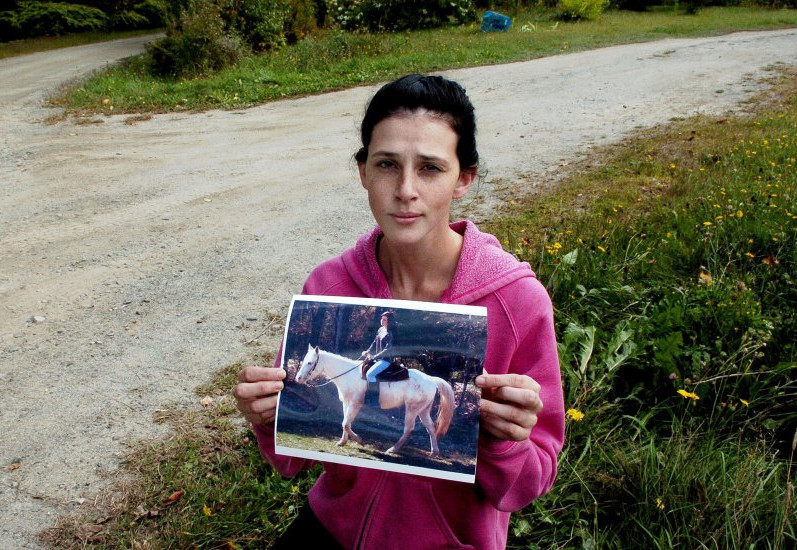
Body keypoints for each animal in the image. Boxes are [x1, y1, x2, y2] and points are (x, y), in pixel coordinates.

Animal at [294, 344, 454, 458]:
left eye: (310, 363)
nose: (298, 378)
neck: (349, 374)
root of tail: (431, 379)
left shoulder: (355, 404)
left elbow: (346, 423)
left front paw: (360, 440)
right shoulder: (347, 403)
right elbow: (345, 423)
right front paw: (342, 442)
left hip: (412, 409)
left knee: (409, 429)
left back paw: (393, 449)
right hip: (423, 410)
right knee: (431, 427)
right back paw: (434, 452)